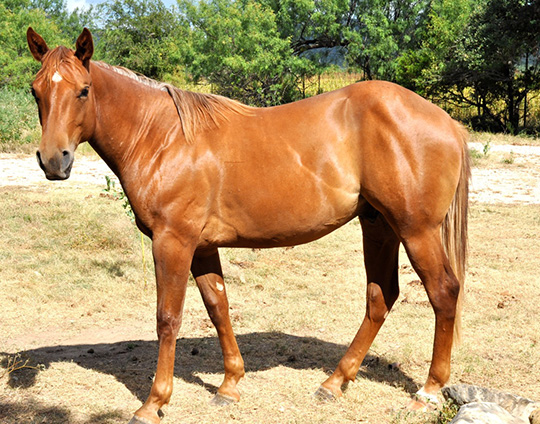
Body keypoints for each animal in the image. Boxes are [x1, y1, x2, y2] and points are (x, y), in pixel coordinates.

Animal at [28, 28, 468, 422]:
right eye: (36, 91)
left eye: (83, 90)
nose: (53, 161)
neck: (163, 137)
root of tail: (446, 121)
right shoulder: (202, 246)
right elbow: (218, 307)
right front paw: (229, 386)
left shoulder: (173, 242)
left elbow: (167, 318)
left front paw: (153, 403)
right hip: (378, 224)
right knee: (381, 297)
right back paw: (334, 382)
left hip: (416, 231)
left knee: (443, 293)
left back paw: (428, 391)